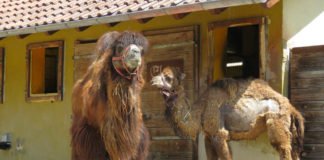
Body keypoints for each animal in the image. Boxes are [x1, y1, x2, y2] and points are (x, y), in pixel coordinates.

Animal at [151, 66, 304, 160]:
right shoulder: (208, 136)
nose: (152, 81)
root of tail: (292, 108)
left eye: (168, 77)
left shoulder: (219, 134)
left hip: (277, 123)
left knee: (283, 149)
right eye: (159, 74)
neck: (201, 110)